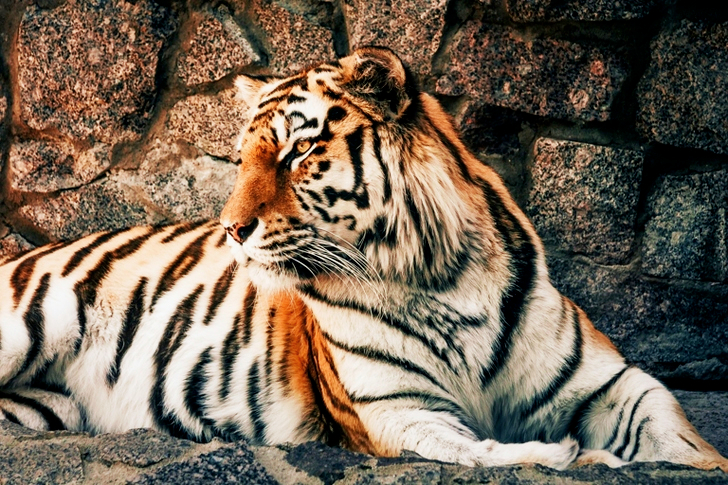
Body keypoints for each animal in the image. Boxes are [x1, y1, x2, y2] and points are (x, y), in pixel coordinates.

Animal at [0, 47, 726, 472]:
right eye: (239, 159)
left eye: (296, 152)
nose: (231, 229)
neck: (441, 279)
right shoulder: (396, 409)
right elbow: (481, 451)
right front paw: (569, 454)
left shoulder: (610, 382)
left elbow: (681, 432)